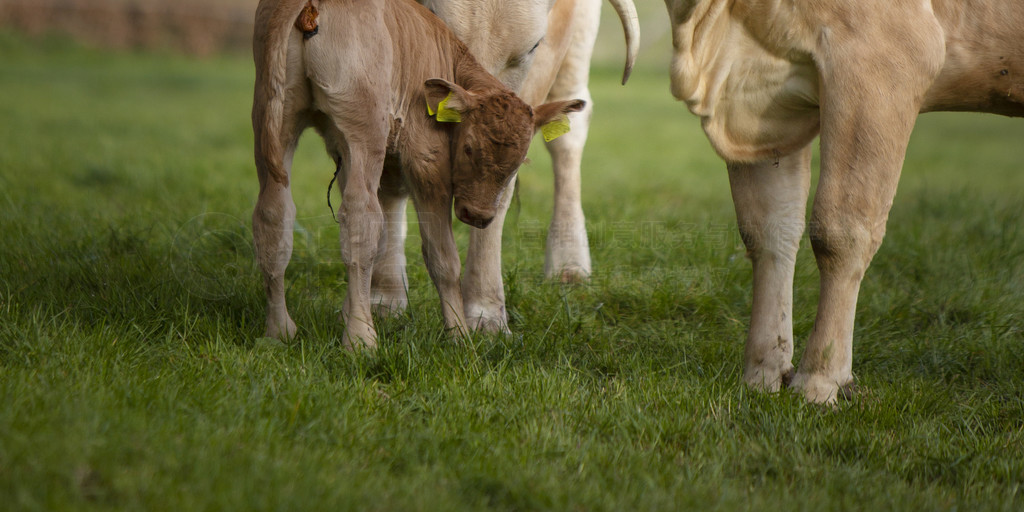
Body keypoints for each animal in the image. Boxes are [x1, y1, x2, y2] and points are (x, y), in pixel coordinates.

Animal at [368, 0, 638, 331]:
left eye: (534, 46)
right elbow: (391, 173)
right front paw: (386, 297)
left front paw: (486, 312)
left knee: (570, 128)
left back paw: (569, 264)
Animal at [663, 1, 1024, 403]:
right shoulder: (763, 102)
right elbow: (769, 229)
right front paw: (762, 375)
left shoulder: (880, 58)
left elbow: (841, 231)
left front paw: (819, 382)